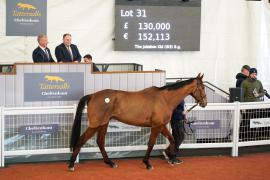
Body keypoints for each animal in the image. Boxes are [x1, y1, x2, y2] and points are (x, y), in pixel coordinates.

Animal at [67, 73, 207, 170]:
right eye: (201, 87)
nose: (204, 103)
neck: (164, 99)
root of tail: (92, 95)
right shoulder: (156, 126)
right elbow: (151, 144)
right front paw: (147, 163)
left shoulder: (161, 126)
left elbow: (172, 139)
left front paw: (171, 159)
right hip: (95, 125)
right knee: (81, 140)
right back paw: (71, 165)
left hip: (103, 124)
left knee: (100, 142)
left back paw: (110, 163)